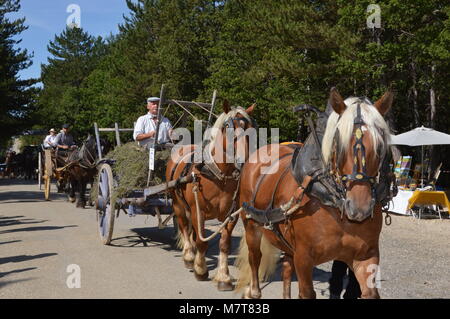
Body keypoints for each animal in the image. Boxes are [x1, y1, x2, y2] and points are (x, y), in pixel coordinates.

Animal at [166, 101, 256, 292]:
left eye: (250, 127)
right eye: (228, 127)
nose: (243, 160)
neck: (219, 176)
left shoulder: (230, 216)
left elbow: (224, 244)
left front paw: (224, 278)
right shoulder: (197, 211)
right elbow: (201, 242)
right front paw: (200, 270)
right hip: (178, 204)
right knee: (184, 227)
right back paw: (189, 257)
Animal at [237, 88, 396, 300]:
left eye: (380, 147)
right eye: (339, 145)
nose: (359, 208)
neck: (333, 203)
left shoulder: (366, 255)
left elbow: (369, 292)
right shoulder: (303, 257)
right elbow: (306, 292)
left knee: (286, 267)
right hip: (251, 225)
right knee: (255, 257)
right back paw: (253, 291)